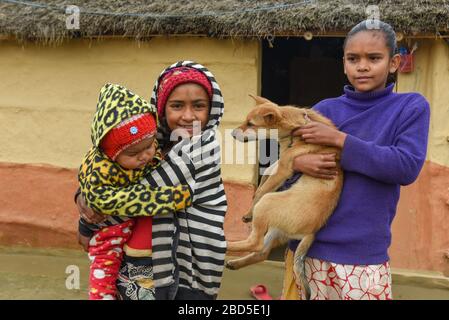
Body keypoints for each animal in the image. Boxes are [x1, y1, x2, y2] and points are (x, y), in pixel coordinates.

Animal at [228, 96, 344, 298]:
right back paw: (235, 262)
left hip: (268, 204)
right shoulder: (280, 163)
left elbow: (261, 190)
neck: (296, 127)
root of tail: (311, 232)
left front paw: (249, 210)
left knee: (255, 242)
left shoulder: (284, 168)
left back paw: (227, 244)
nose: (233, 134)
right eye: (245, 120)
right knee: (261, 251)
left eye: (251, 124)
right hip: (274, 228)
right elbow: (267, 172)